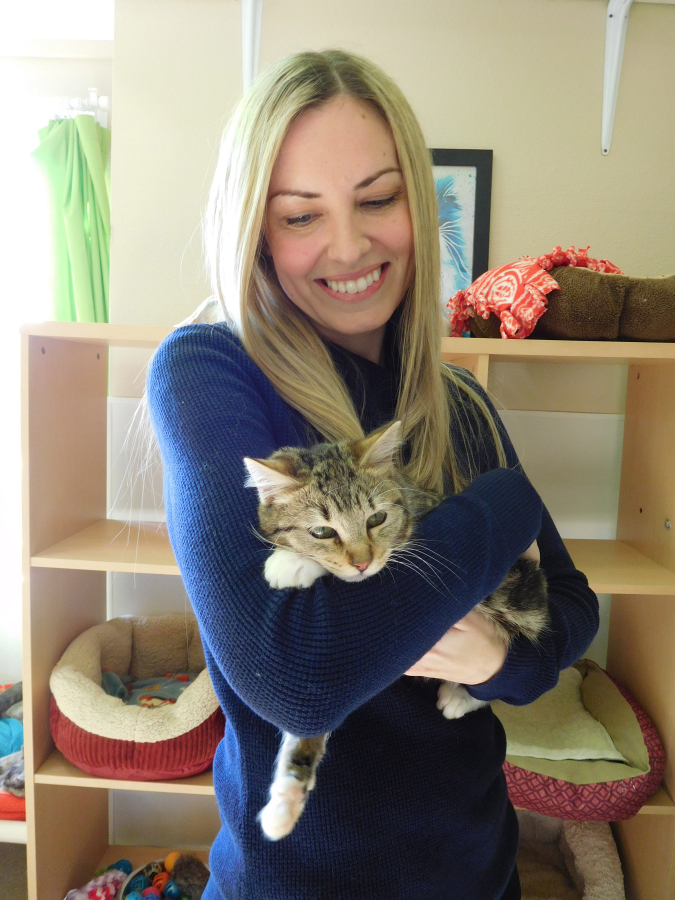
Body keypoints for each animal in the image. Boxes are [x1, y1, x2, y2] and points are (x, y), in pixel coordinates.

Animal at [244, 418, 548, 840]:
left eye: (376, 519)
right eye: (322, 532)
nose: (361, 562)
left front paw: (291, 562)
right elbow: (311, 711)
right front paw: (286, 797)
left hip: (521, 590)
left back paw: (461, 695)